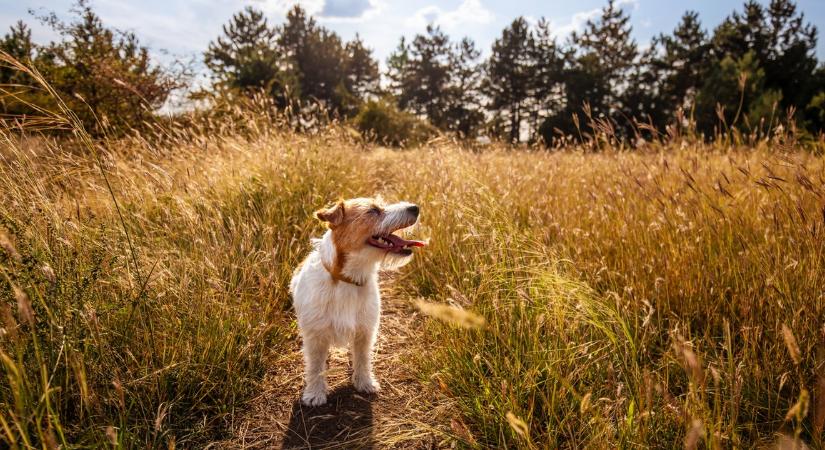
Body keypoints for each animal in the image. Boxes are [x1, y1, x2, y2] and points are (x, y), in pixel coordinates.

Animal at [290, 195, 424, 406]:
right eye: (373, 211)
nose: (415, 208)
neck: (348, 280)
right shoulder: (315, 336)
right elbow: (315, 366)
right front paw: (315, 393)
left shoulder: (365, 332)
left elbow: (362, 359)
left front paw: (364, 383)